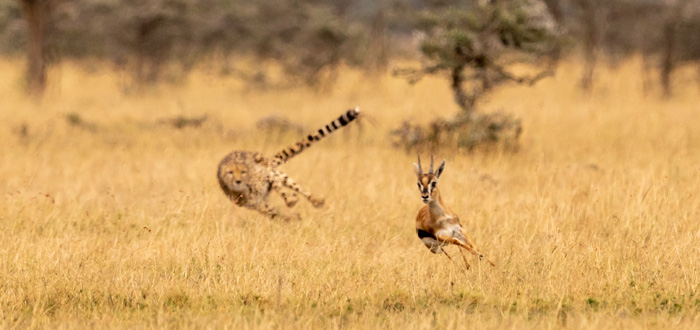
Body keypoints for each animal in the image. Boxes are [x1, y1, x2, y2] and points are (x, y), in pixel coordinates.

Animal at [217, 107, 360, 219]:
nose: (238, 181)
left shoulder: (268, 175)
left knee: (298, 188)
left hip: (278, 174)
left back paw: (315, 200)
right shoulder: (255, 204)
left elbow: (281, 191)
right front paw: (291, 216)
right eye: (230, 173)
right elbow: (273, 211)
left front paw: (291, 200)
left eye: (243, 172)